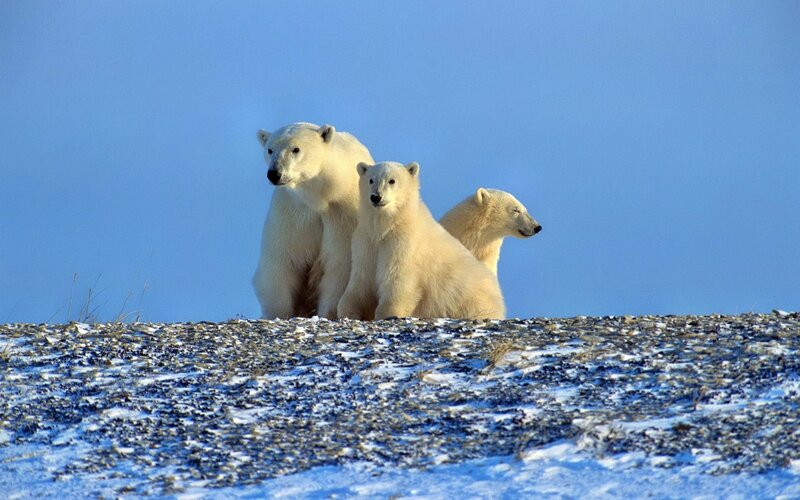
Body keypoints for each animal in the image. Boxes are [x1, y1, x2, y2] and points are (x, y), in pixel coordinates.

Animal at [253, 122, 373, 319]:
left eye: (296, 149)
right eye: (270, 149)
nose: (274, 173)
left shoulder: (342, 215)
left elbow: (338, 266)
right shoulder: (292, 213)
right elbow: (282, 262)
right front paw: (279, 313)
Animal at [337, 161, 506, 321]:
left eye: (392, 180)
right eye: (371, 180)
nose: (376, 196)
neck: (388, 226)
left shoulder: (403, 243)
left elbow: (397, 278)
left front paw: (388, 312)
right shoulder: (366, 241)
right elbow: (362, 278)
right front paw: (349, 311)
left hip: (471, 300)